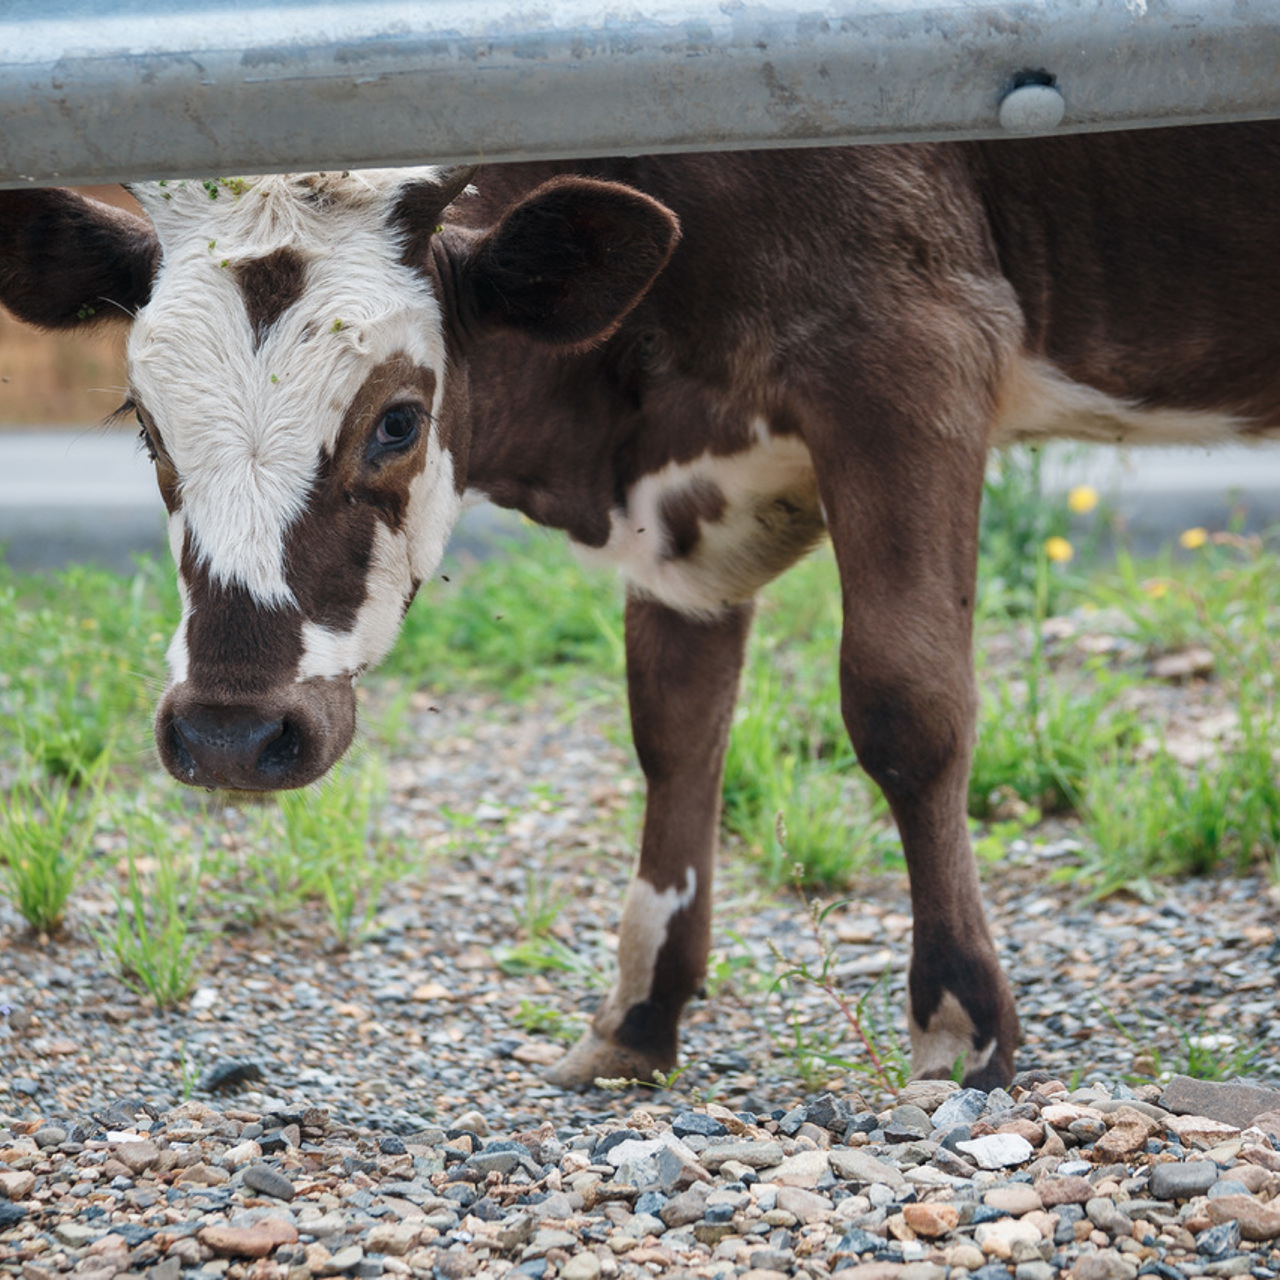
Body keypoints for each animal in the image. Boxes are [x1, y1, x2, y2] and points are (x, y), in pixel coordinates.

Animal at [2, 122, 1280, 1090]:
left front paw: (959, 1022)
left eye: (397, 420)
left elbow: (905, 705)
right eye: (142, 422)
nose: (228, 732)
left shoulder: (914, 354)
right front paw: (639, 1017)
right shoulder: (685, 520)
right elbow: (674, 731)